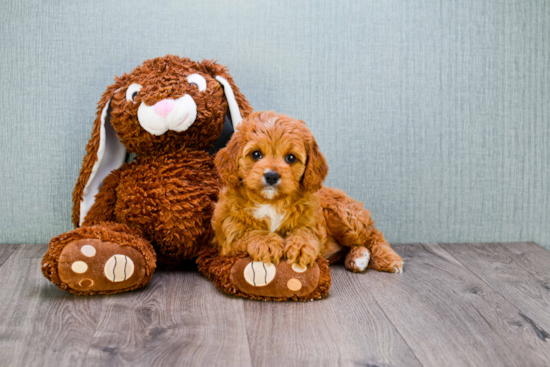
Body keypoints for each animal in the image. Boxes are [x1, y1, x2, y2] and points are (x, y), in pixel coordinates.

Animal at [43, 55, 254, 296]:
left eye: (194, 84)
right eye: (133, 94)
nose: (163, 106)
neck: (169, 153)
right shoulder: (115, 180)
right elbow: (101, 204)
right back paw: (91, 256)